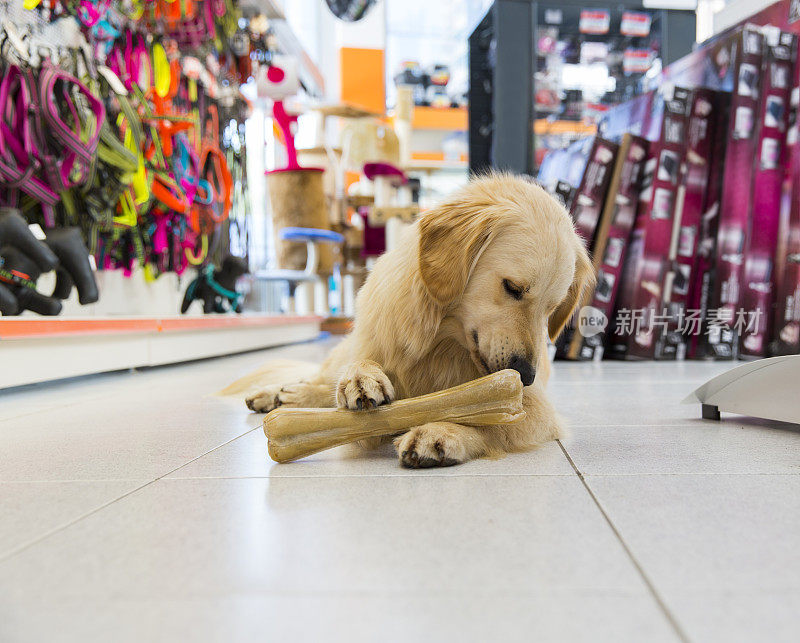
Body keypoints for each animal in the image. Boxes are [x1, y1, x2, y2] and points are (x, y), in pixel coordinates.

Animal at [245, 174, 592, 470]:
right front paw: (362, 377)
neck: (442, 344)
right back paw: (279, 394)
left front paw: (441, 431)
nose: (526, 375)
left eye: (551, 309)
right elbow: (362, 367)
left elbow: (490, 420)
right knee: (322, 378)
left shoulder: (536, 408)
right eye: (512, 287)